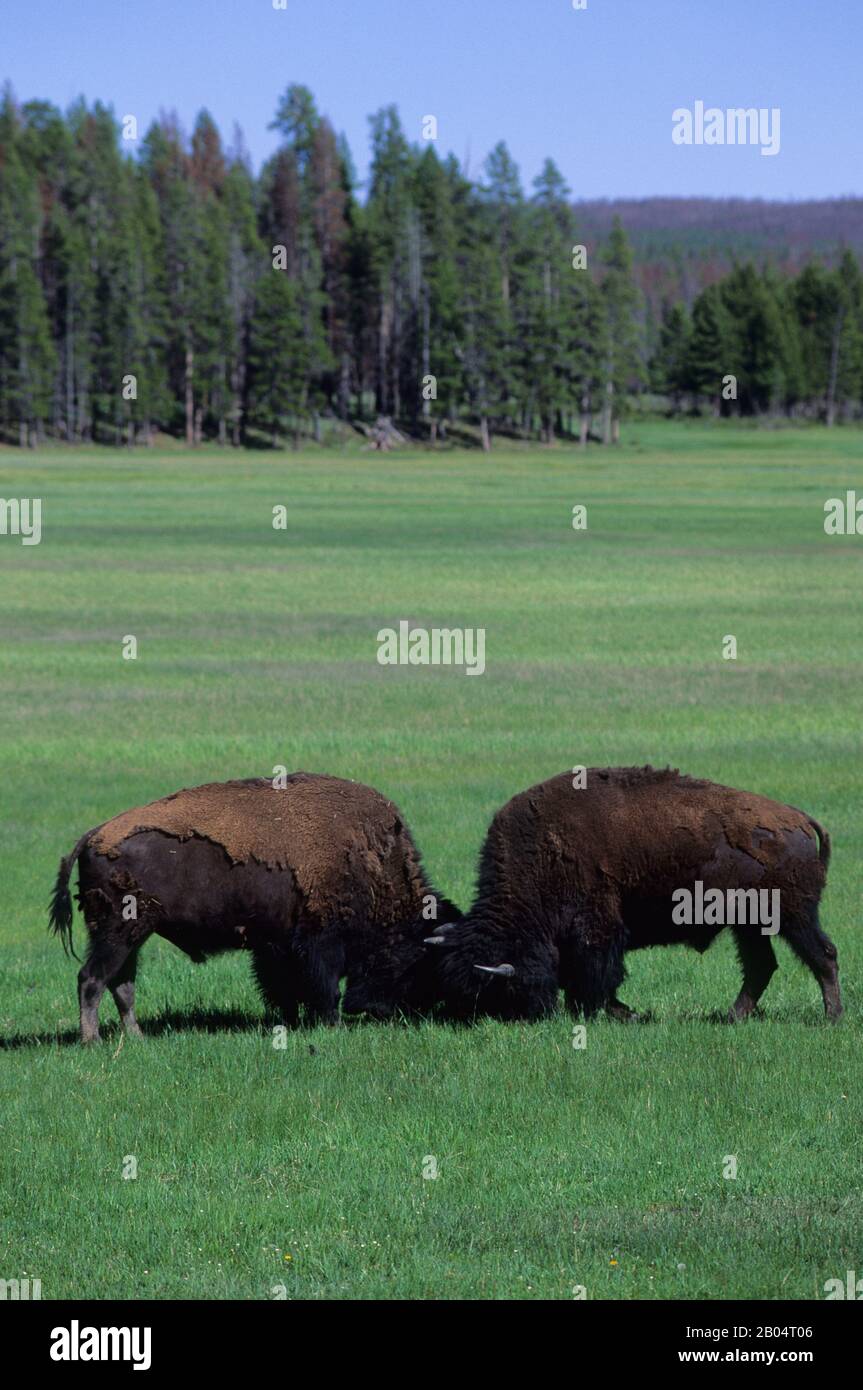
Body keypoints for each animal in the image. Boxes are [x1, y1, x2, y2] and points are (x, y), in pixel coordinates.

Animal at [49, 773, 459, 1042]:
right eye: (412, 958)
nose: (396, 1012)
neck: (371, 864)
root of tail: (94, 835)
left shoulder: (277, 947)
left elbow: (284, 989)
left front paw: (292, 1022)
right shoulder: (319, 943)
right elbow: (324, 988)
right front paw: (333, 1024)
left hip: (132, 936)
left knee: (122, 984)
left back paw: (135, 1037)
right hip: (118, 933)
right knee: (92, 979)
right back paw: (92, 1040)